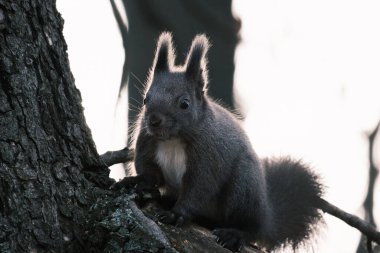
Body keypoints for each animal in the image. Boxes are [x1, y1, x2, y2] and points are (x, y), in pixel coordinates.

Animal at [118, 32, 378, 252]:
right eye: (146, 99)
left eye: (184, 104)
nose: (153, 121)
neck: (173, 139)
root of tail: (267, 214)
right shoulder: (147, 143)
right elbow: (151, 174)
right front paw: (136, 181)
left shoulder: (209, 157)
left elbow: (199, 188)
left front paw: (177, 214)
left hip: (243, 189)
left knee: (251, 227)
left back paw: (235, 234)